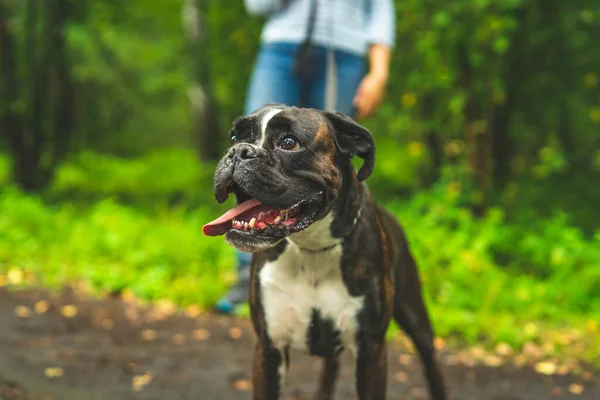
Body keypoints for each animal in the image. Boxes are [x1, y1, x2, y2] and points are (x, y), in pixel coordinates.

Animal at [205, 104, 446, 398]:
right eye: (234, 137)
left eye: (289, 143)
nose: (239, 151)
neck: (312, 247)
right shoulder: (269, 350)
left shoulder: (371, 353)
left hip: (417, 322)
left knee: (432, 368)